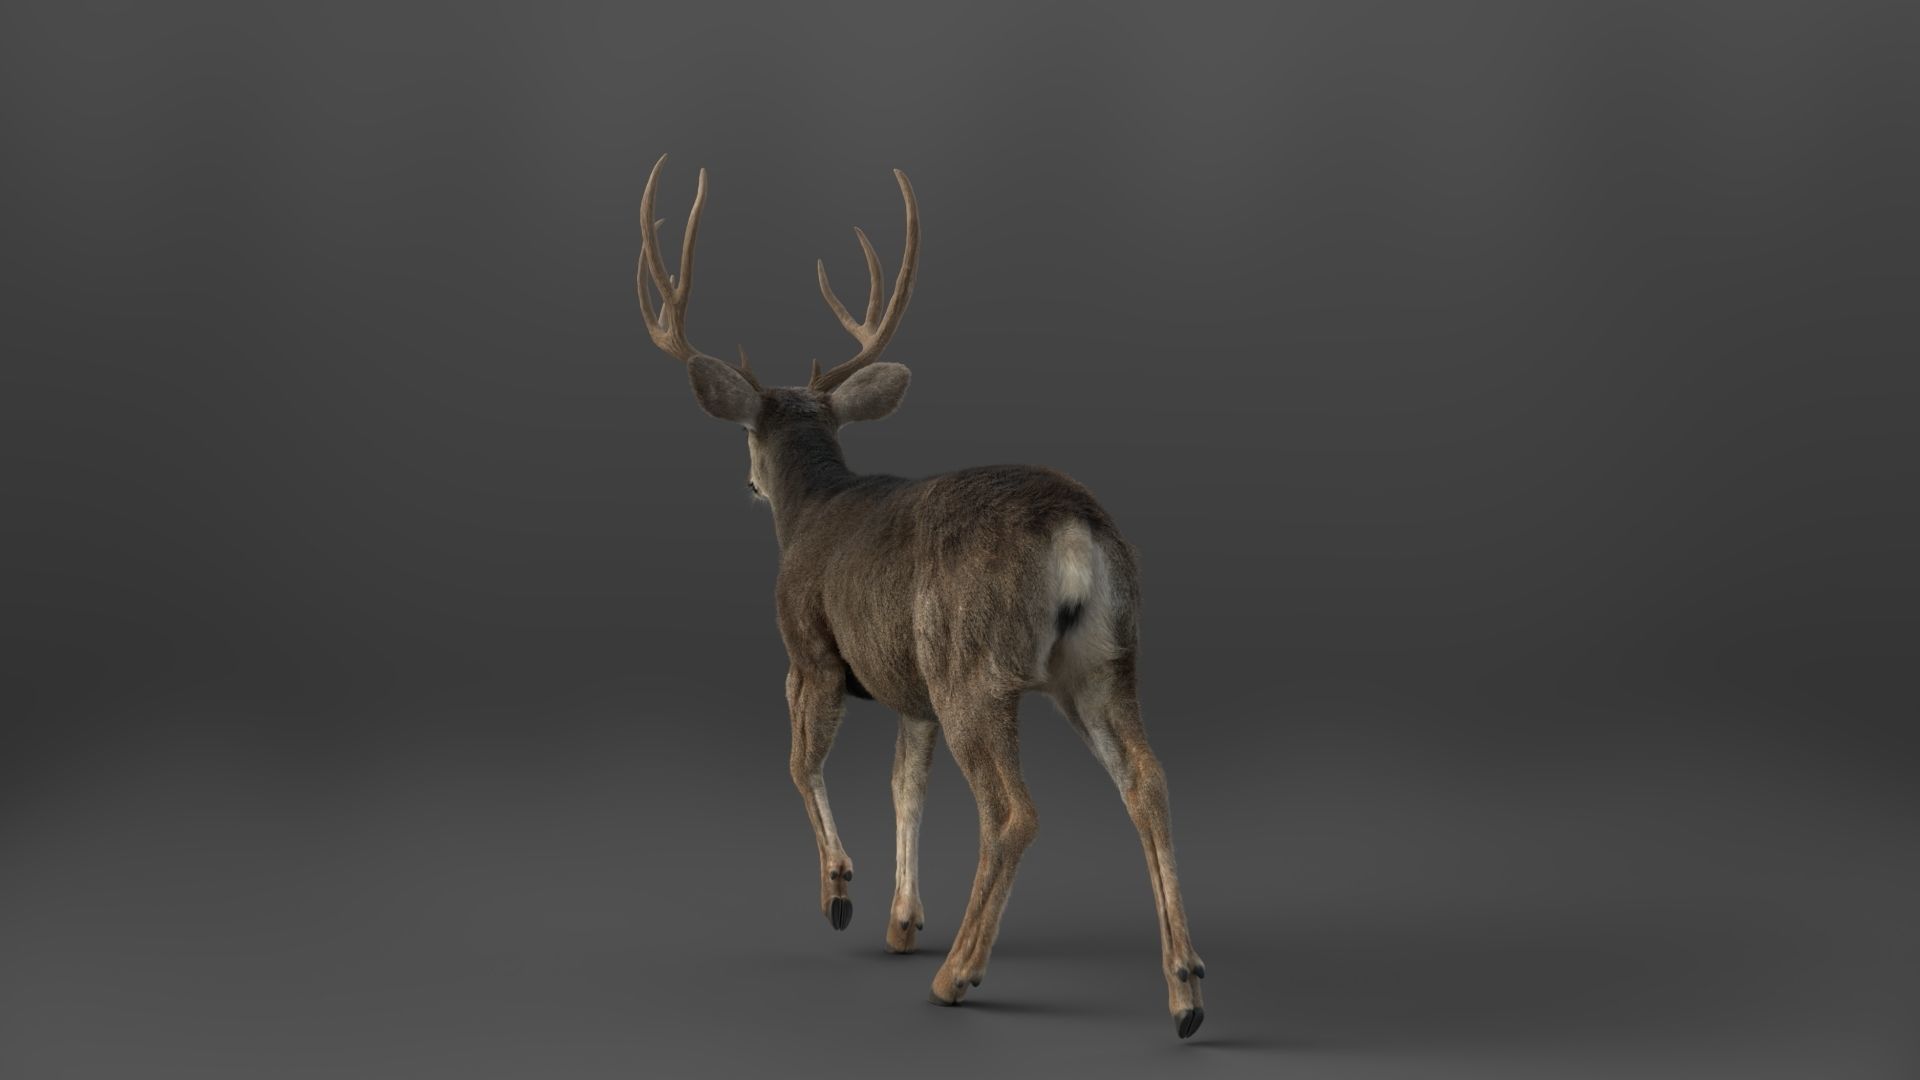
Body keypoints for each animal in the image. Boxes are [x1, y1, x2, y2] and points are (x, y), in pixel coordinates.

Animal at [633, 155, 1208, 1039]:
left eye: (748, 436)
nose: (748, 481)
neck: (816, 505)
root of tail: (1073, 528)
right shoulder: (910, 691)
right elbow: (906, 787)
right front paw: (902, 920)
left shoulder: (811, 651)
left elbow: (800, 763)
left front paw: (841, 891)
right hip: (1104, 658)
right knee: (1148, 780)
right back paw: (1185, 990)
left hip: (973, 665)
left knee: (1013, 811)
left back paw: (958, 974)